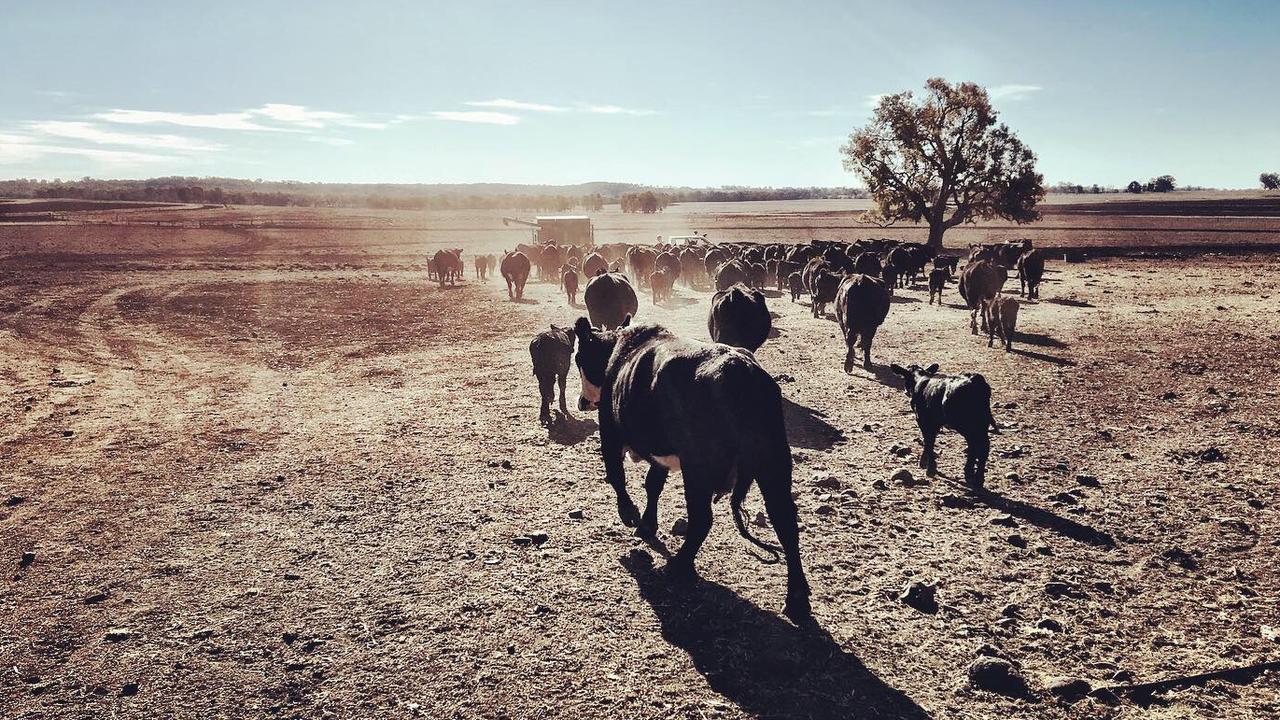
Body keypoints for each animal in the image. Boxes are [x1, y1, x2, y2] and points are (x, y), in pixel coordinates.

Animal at [576, 316, 814, 620]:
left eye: (579, 358)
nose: (582, 402)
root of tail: (741, 372)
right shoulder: (659, 455)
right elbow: (653, 485)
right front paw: (647, 525)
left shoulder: (610, 433)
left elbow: (616, 477)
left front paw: (629, 515)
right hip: (774, 463)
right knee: (785, 522)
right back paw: (797, 599)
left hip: (699, 469)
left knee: (702, 519)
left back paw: (679, 565)